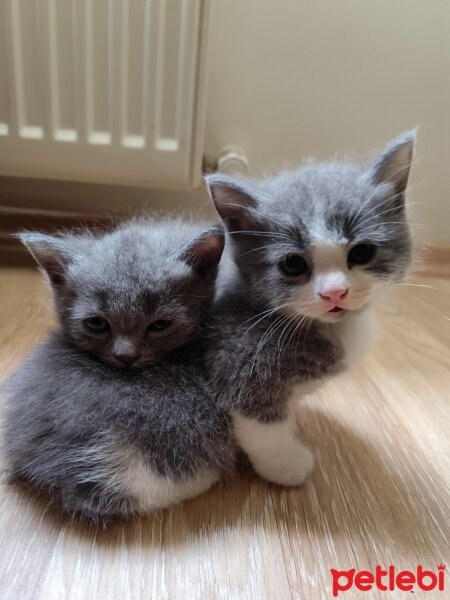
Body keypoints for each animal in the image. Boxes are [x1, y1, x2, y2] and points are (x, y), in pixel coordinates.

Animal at [206, 132, 414, 488]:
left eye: (362, 252)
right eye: (293, 264)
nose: (334, 292)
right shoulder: (237, 356)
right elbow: (262, 424)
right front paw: (287, 465)